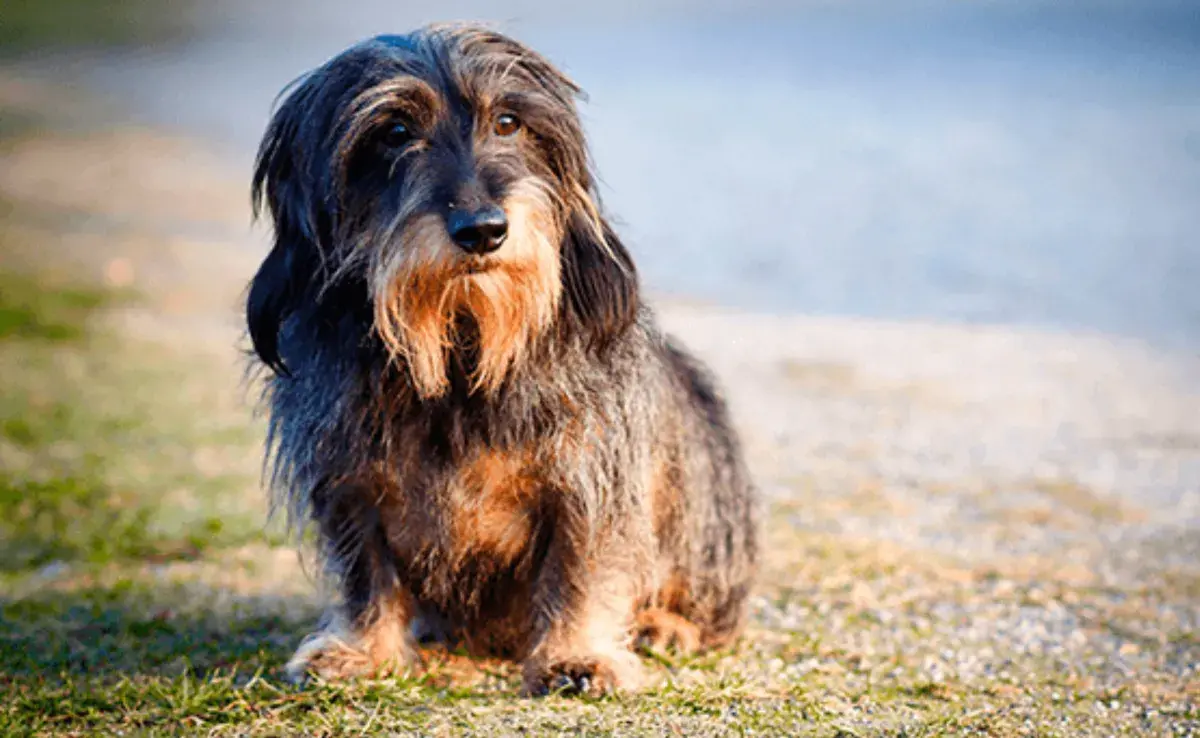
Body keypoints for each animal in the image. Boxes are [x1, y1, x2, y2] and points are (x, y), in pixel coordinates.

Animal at [246, 21, 758, 691]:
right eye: (394, 132)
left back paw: (668, 624)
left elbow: (581, 563)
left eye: (509, 121)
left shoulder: (591, 473)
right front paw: (364, 650)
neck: (463, 347)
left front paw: (576, 654)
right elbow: (366, 571)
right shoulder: (348, 478)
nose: (484, 229)